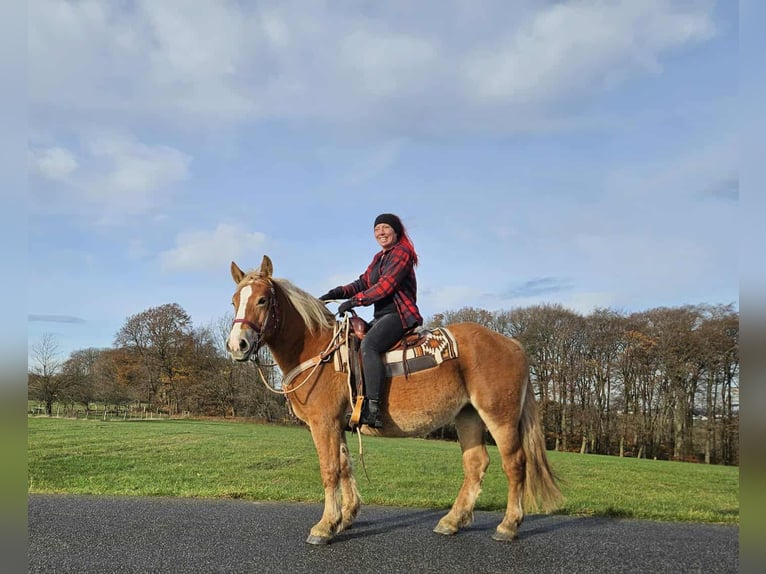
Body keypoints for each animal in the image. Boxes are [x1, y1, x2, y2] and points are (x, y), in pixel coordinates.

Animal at [227, 255, 561, 545]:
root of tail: (513, 344)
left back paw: (508, 525)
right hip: (468, 415)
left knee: (515, 464)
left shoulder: (323, 423)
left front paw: (324, 526)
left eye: (263, 300)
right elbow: (345, 466)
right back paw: (452, 521)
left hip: (499, 416)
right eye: (234, 301)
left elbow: (330, 470)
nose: (237, 345)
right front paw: (345, 517)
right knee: (476, 464)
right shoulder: (337, 424)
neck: (317, 348)